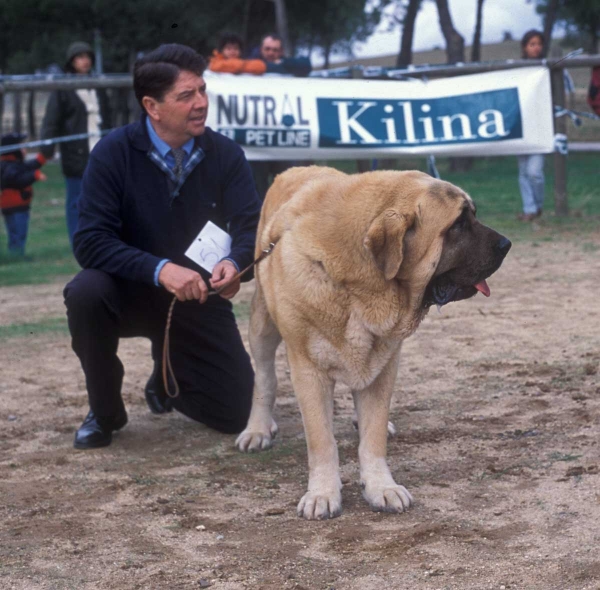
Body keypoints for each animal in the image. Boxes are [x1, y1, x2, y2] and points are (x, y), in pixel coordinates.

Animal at [237, 168, 508, 524]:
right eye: (459, 223)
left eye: (472, 215)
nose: (507, 244)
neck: (357, 287)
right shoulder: (308, 370)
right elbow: (321, 439)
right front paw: (323, 493)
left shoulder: (383, 366)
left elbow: (373, 436)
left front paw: (381, 486)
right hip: (262, 326)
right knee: (265, 377)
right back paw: (257, 428)